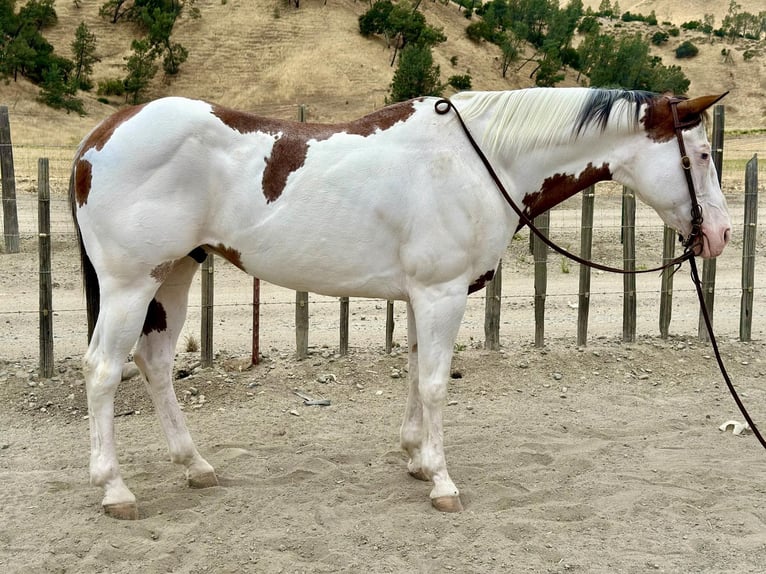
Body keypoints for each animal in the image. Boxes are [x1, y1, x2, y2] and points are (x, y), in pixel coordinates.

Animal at [69, 87, 731, 519]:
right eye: (701, 155)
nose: (720, 235)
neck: (478, 160)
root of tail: (100, 139)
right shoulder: (442, 292)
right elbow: (436, 382)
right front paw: (441, 481)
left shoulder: (421, 295)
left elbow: (415, 371)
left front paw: (415, 459)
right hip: (132, 283)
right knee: (103, 370)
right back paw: (115, 489)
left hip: (175, 275)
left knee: (155, 364)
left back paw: (195, 465)